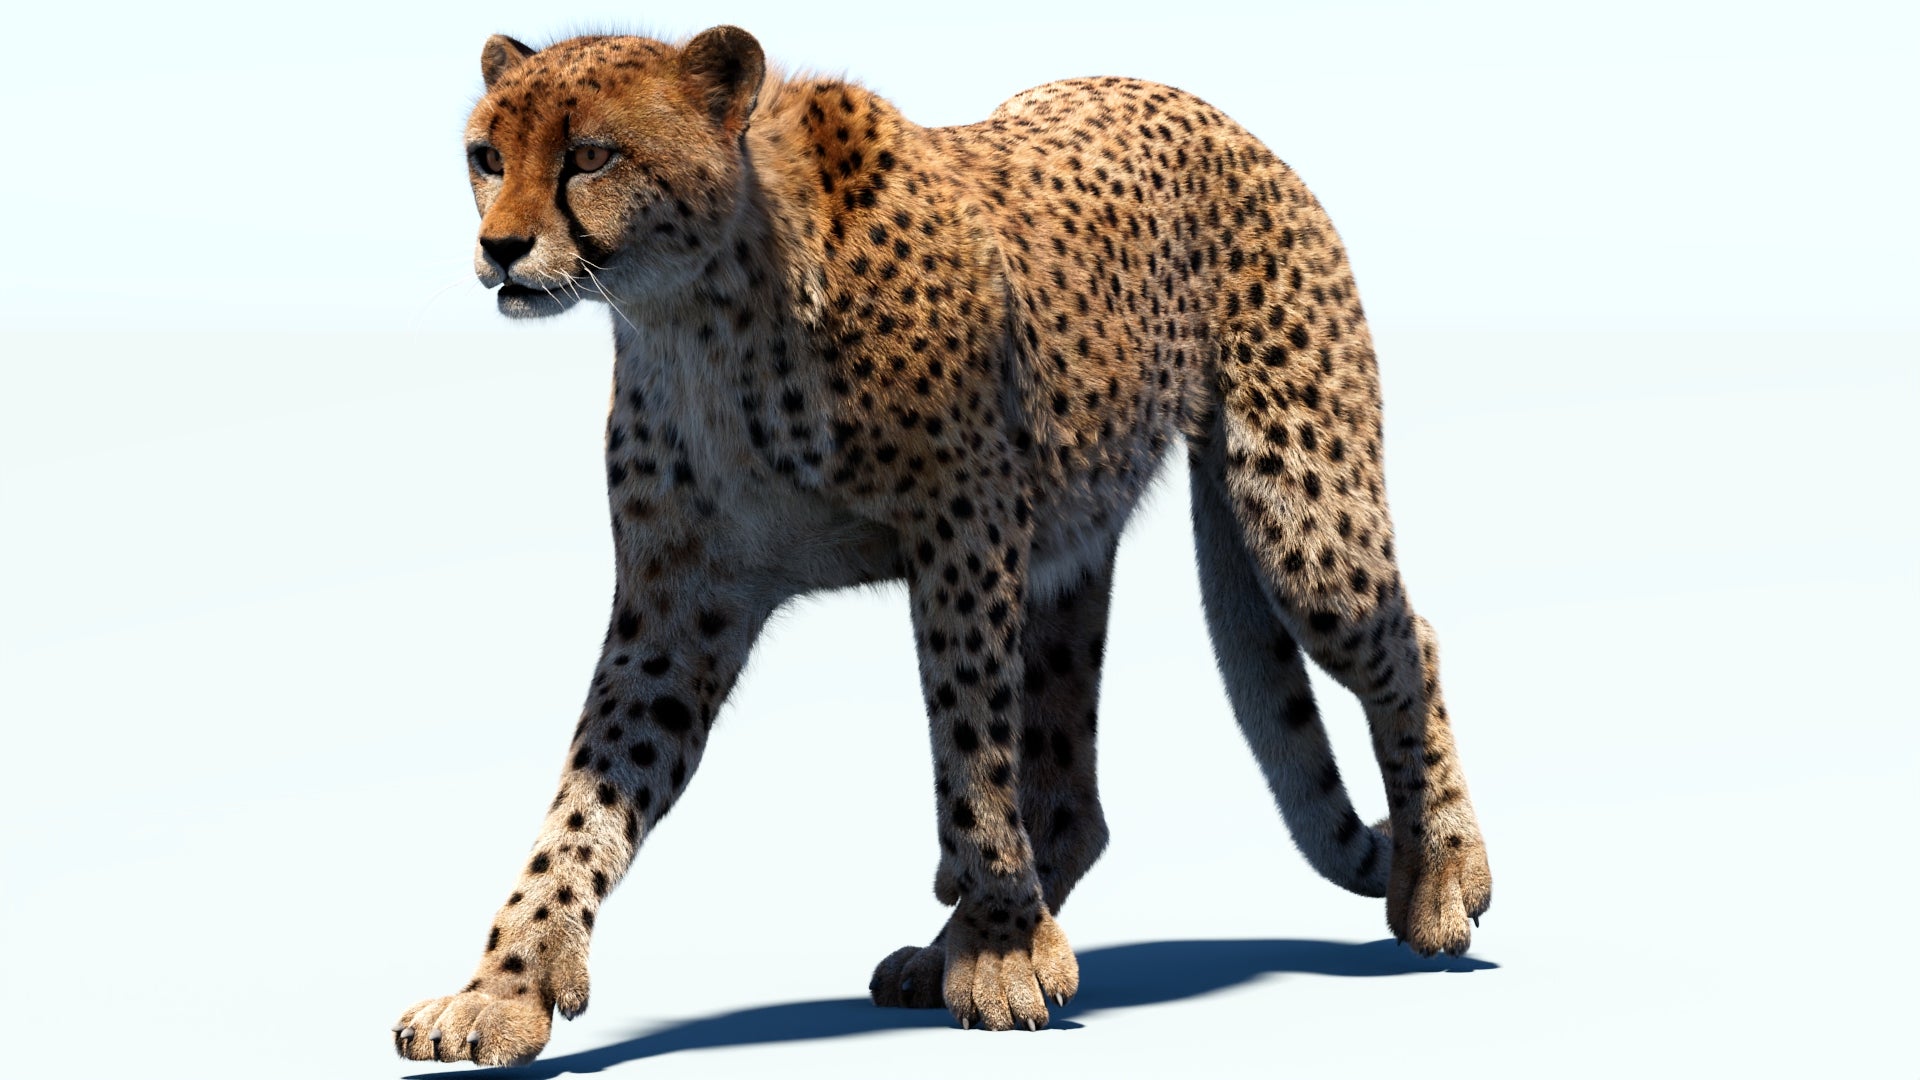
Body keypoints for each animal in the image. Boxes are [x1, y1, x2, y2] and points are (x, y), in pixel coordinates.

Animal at [393, 26, 1492, 1066]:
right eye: (487, 155)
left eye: (590, 154)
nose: (500, 247)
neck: (704, 306)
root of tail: (1211, 113)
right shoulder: (680, 610)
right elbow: (586, 802)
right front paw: (504, 985)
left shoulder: (967, 532)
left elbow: (967, 746)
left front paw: (1003, 951)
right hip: (1070, 551)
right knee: (1069, 792)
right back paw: (948, 941)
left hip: (1297, 510)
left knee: (1410, 640)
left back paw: (1442, 871)